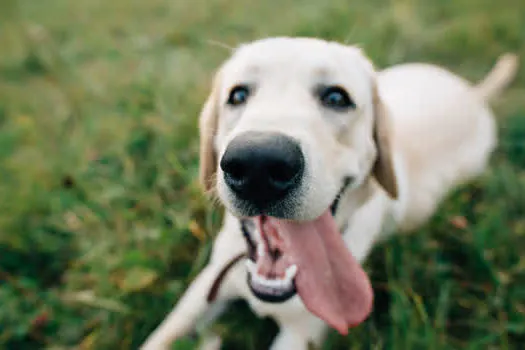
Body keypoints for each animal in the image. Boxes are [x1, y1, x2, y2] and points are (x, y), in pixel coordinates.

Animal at [141, 37, 516, 348]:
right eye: (238, 95)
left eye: (337, 97)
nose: (258, 164)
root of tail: (474, 93)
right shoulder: (206, 284)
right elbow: (162, 334)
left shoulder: (302, 333)